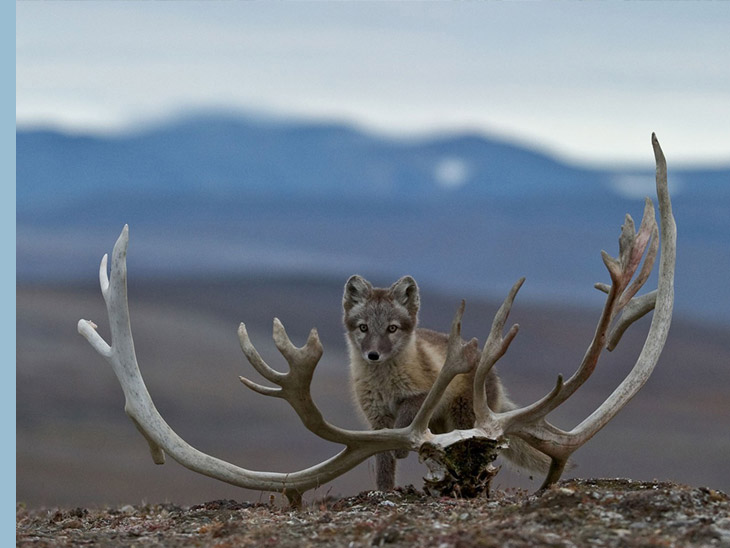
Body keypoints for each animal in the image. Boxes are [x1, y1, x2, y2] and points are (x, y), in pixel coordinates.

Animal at [344, 276, 548, 490]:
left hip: (463, 420)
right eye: (363, 327)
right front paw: (384, 490)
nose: (373, 355)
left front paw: (400, 451)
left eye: (392, 328)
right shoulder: (377, 419)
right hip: (440, 428)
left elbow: (404, 418)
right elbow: (383, 462)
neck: (384, 384)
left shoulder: (421, 395)